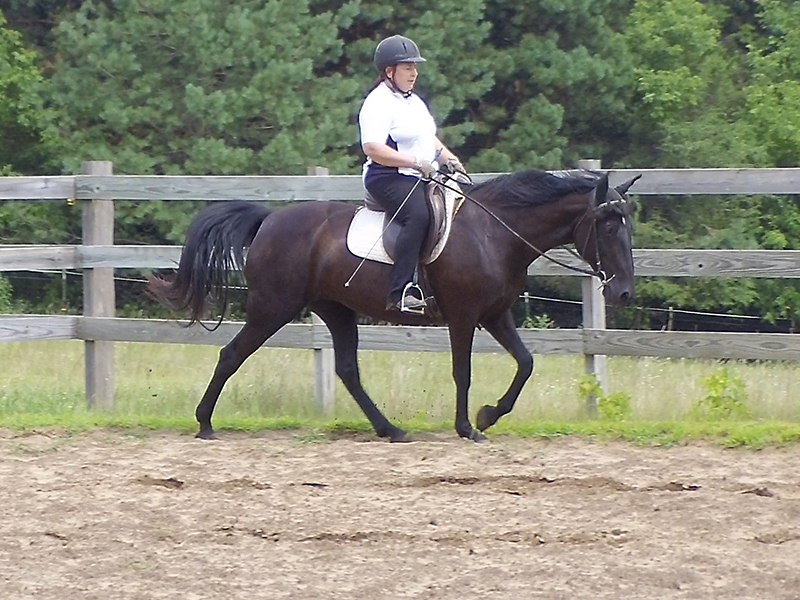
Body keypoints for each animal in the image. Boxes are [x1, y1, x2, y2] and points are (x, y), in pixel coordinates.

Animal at [148, 168, 640, 442]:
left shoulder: (495, 315)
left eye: (627, 226)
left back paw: (390, 429)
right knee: (232, 354)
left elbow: (526, 363)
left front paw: (487, 415)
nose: (622, 293)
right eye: (608, 227)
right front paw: (467, 427)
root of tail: (268, 220)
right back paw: (204, 423)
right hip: (273, 307)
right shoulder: (464, 317)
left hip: (336, 311)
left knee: (347, 370)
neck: (495, 233)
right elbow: (463, 372)